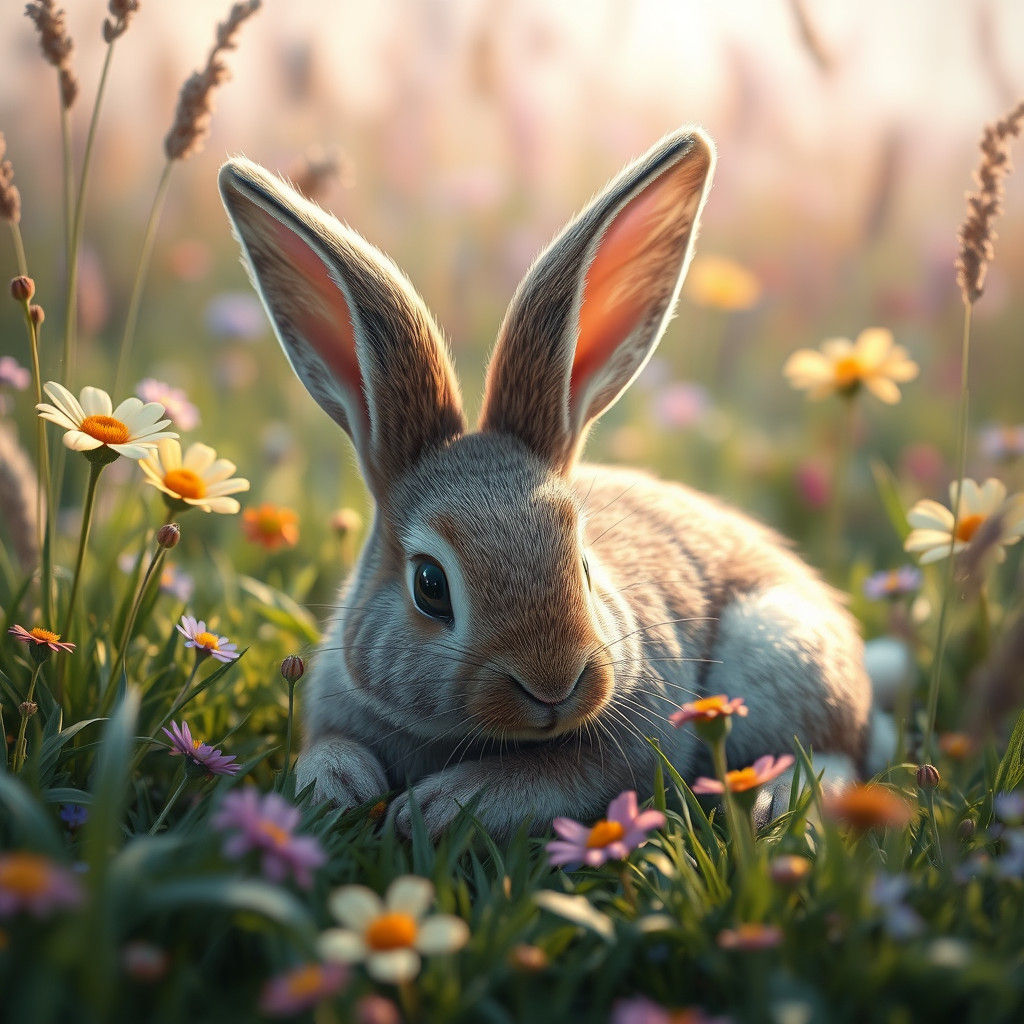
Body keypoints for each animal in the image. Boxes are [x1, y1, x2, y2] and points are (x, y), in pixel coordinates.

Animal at [218, 127, 873, 840]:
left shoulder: (628, 744)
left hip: (782, 650)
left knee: (832, 756)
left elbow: (557, 777)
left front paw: (435, 806)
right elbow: (328, 750)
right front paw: (340, 788)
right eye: (429, 586)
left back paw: (776, 808)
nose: (554, 686)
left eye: (583, 565)